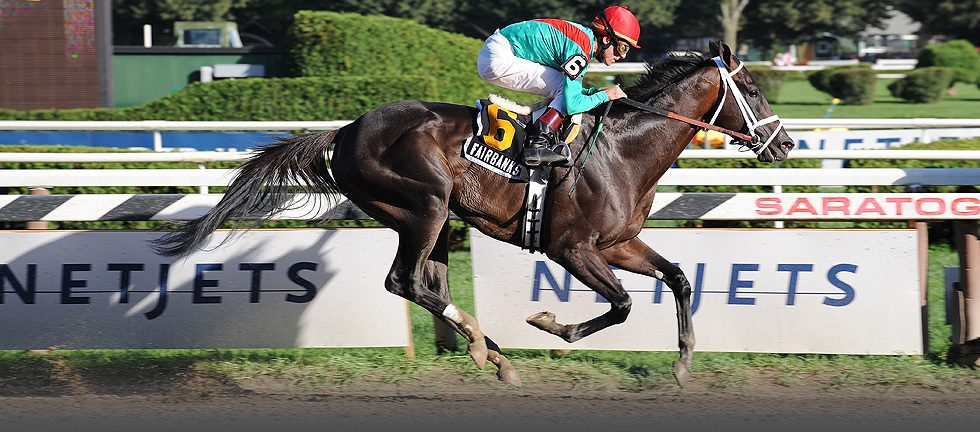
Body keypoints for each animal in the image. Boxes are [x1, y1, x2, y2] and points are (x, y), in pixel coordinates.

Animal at [151, 41, 795, 387]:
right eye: (753, 90)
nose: (785, 144)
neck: (623, 151)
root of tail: (347, 130)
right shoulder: (572, 248)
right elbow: (622, 305)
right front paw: (551, 324)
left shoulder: (617, 244)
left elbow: (679, 279)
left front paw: (683, 365)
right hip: (426, 204)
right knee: (403, 281)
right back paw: (490, 351)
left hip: (429, 219)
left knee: (426, 282)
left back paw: (490, 351)